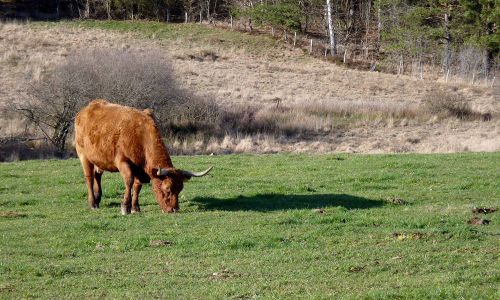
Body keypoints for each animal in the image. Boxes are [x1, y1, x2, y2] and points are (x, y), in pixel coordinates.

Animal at [74, 99, 211, 214]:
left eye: (180, 189)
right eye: (167, 189)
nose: (174, 209)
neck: (141, 135)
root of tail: (86, 110)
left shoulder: (139, 170)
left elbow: (137, 185)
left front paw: (135, 207)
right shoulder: (123, 162)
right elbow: (129, 181)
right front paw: (125, 206)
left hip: (99, 159)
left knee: (97, 175)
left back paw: (97, 199)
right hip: (83, 156)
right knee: (89, 178)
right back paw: (93, 203)